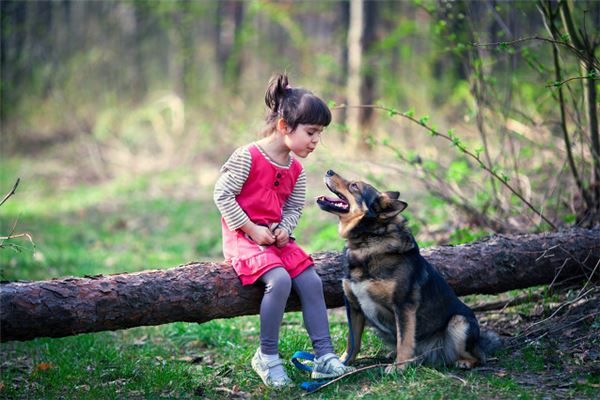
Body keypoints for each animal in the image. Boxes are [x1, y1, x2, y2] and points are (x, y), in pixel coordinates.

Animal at [316, 169, 500, 372]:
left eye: (354, 186)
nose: (329, 171)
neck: (368, 240)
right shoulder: (354, 307)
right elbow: (353, 342)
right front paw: (342, 363)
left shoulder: (403, 306)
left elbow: (404, 340)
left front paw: (399, 367)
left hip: (459, 323)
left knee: (478, 356)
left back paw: (463, 361)